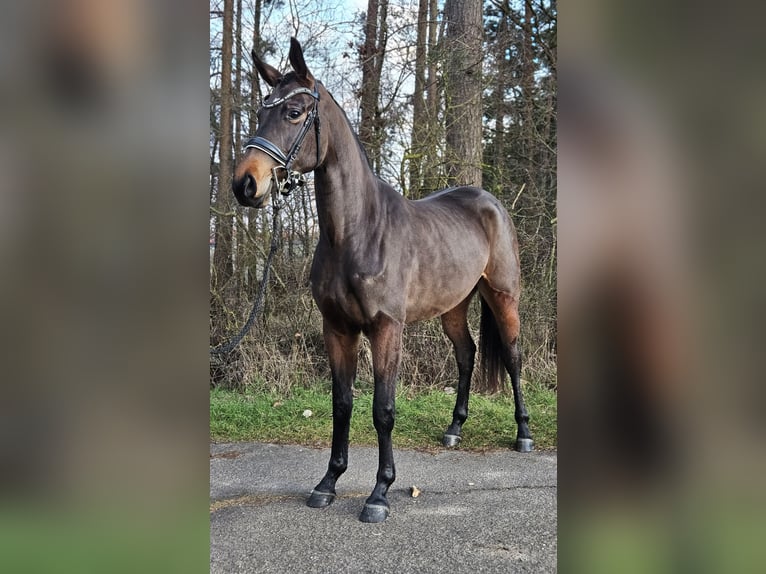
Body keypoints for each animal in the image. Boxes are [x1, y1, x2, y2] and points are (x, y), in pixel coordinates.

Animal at [234, 38, 536, 524]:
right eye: (262, 110)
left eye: (295, 112)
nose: (245, 184)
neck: (356, 232)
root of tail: (489, 202)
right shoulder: (337, 328)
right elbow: (342, 405)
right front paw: (328, 483)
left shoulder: (386, 328)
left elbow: (383, 409)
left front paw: (380, 493)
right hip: (453, 306)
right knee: (467, 354)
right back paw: (454, 428)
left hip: (502, 296)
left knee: (511, 357)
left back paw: (523, 434)